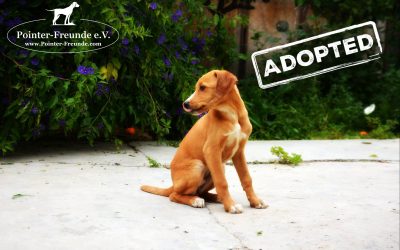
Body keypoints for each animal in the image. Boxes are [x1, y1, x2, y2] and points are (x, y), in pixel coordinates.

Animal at [141, 70, 268, 213]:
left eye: (202, 87)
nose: (185, 104)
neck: (232, 115)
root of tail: (174, 184)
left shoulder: (239, 151)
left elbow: (246, 179)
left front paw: (255, 201)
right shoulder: (211, 150)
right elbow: (222, 182)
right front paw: (231, 206)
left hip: (220, 167)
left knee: (200, 192)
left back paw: (216, 197)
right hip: (198, 166)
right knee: (175, 195)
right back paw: (195, 200)